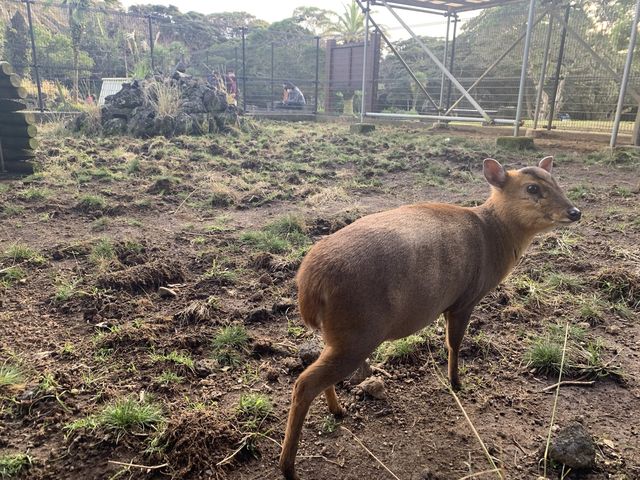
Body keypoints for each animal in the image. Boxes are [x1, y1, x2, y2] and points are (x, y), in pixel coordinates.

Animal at [278, 157, 584, 480]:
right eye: (532, 188)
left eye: (556, 181)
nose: (575, 212)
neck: (494, 238)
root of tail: (309, 285)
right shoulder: (465, 299)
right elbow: (454, 343)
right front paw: (455, 382)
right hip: (357, 332)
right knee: (304, 383)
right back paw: (288, 467)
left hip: (338, 334)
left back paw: (337, 411)